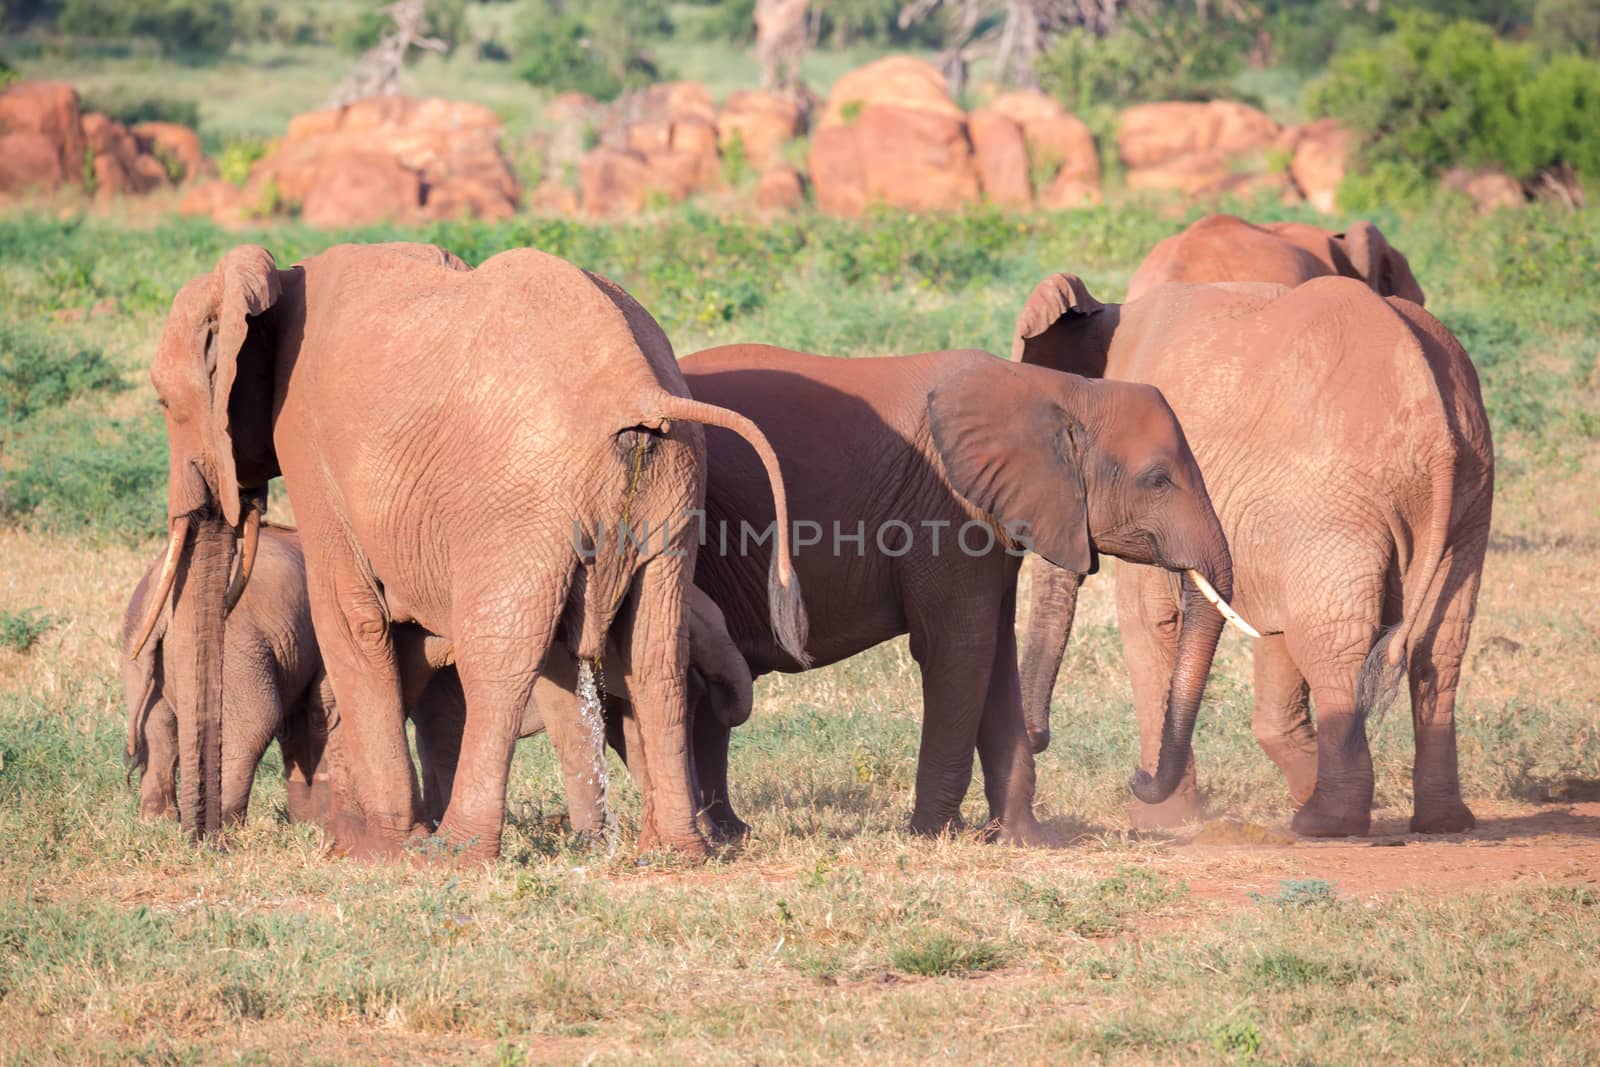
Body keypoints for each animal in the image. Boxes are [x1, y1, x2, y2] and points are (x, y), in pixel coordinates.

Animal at [123, 521, 339, 831]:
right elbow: (322, 712)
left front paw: (308, 823)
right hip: (234, 652)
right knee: (252, 727)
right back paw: (223, 826)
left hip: (142, 657)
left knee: (159, 731)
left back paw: (157, 823)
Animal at [668, 347, 1241, 844]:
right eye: (1158, 480)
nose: (1137, 780)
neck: (1059, 391)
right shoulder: (946, 508)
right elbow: (960, 648)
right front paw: (935, 834)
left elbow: (997, 655)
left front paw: (1028, 841)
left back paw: (731, 832)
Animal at [1017, 271, 1491, 838]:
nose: (1038, 737)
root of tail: (1433, 427)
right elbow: (1272, 627)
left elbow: (1149, 617)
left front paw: (1160, 816)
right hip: (1467, 489)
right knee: (1439, 644)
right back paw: (1442, 821)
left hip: (1332, 497)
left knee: (1332, 643)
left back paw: (1324, 824)